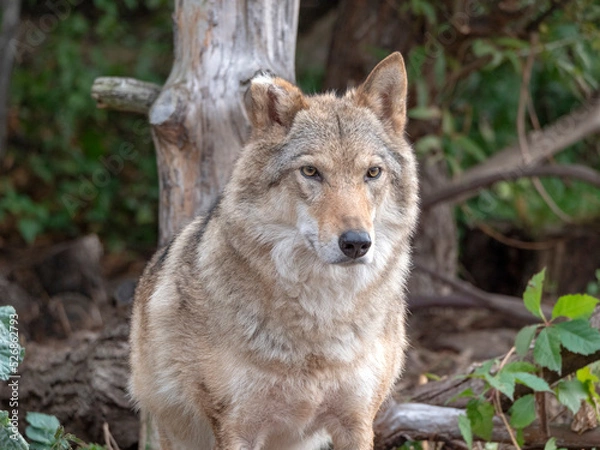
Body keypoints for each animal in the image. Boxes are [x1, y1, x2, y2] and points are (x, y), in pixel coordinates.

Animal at [129, 51, 420, 448]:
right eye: (311, 172)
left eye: (372, 173)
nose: (357, 243)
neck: (321, 318)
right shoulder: (238, 427)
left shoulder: (357, 422)